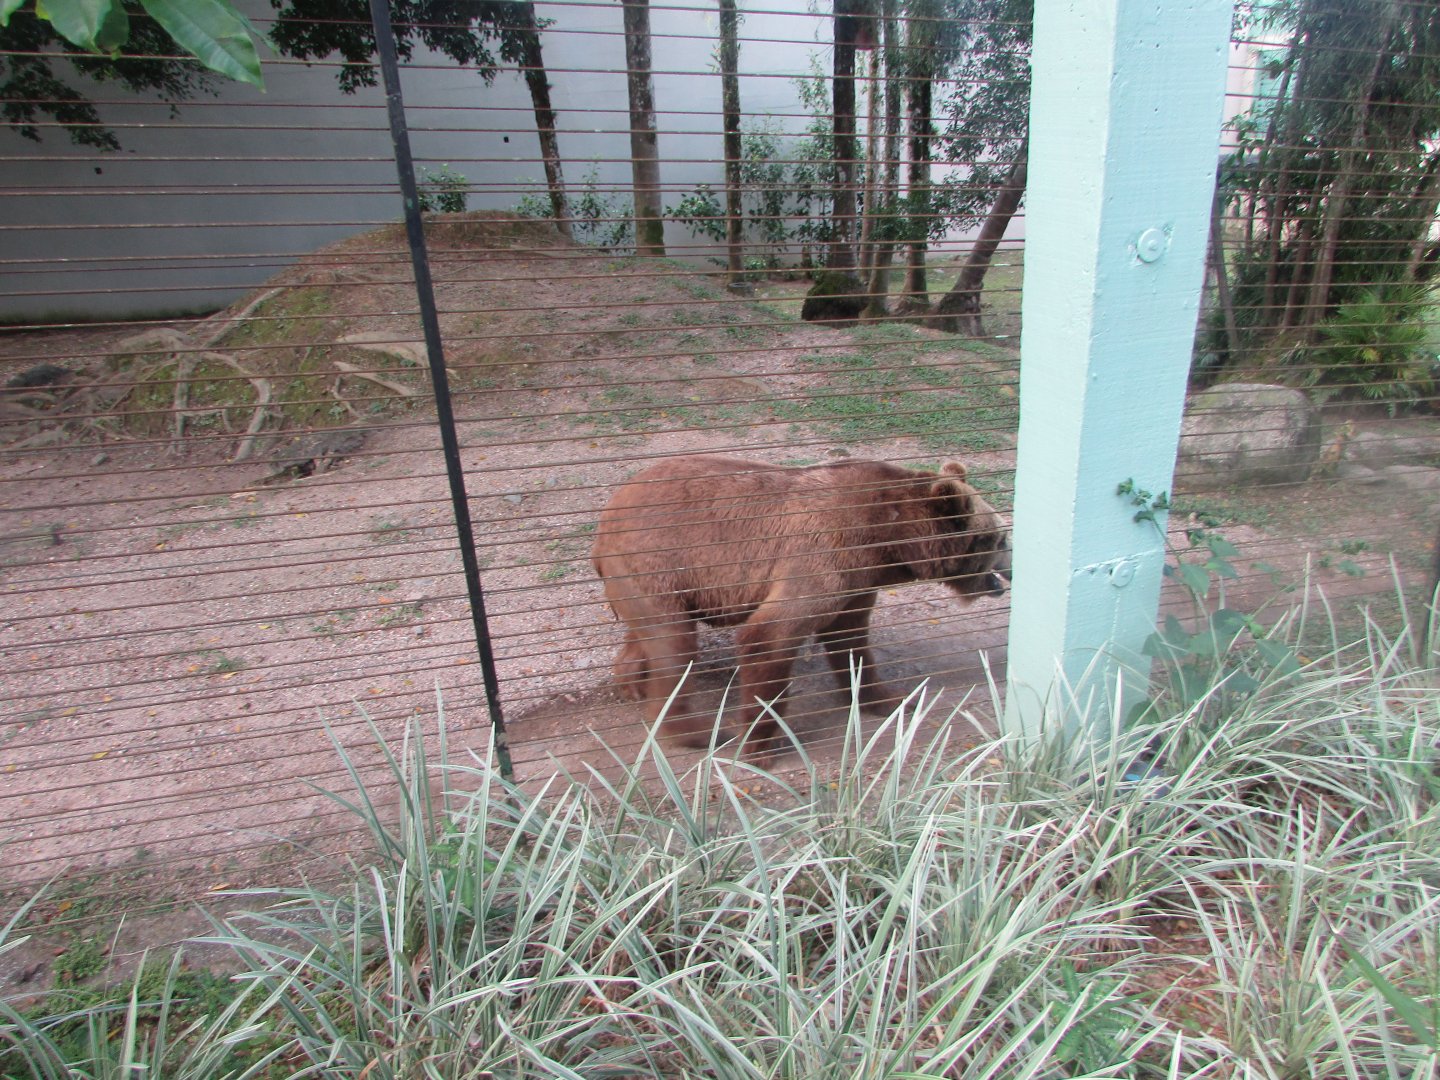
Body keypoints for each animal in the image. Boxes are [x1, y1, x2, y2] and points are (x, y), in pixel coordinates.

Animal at [591, 454, 1010, 757]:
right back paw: (694, 731)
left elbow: (851, 642)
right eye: (999, 538)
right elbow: (769, 635)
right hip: (656, 561)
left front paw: (890, 698)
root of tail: (608, 511)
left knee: (649, 637)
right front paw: (761, 744)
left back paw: (634, 685)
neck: (888, 541)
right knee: (673, 645)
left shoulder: (857, 582)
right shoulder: (821, 554)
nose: (1009, 567)